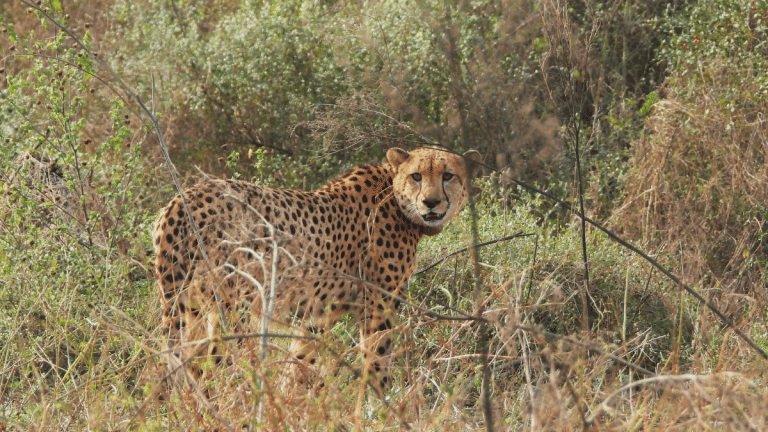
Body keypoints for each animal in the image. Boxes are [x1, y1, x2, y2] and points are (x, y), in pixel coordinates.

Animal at [152, 147, 482, 396]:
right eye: (416, 176)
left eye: (448, 176)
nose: (431, 202)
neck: (395, 197)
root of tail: (182, 198)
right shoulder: (378, 307)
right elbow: (376, 363)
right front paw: (378, 409)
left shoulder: (316, 315)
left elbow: (300, 363)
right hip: (233, 307)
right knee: (216, 364)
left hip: (189, 306)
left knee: (185, 364)